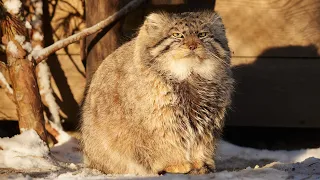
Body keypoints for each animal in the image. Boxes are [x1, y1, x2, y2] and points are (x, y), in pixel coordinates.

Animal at [81, 10, 234, 174]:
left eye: (202, 34)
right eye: (177, 35)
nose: (192, 45)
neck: (189, 76)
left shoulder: (206, 121)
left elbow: (201, 143)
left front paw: (200, 162)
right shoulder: (161, 121)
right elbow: (167, 143)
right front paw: (176, 163)